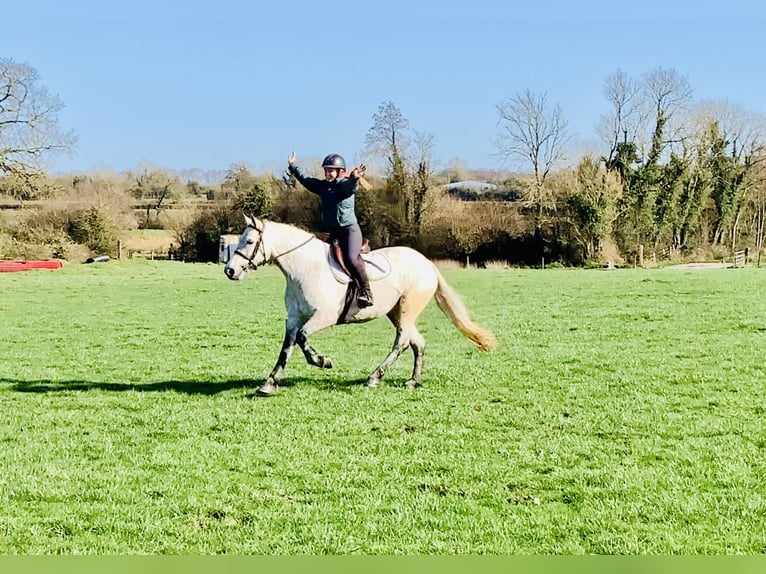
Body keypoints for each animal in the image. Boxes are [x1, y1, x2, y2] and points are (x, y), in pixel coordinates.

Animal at [224, 215, 497, 395]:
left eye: (249, 242)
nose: (230, 271)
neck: (304, 268)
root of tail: (426, 263)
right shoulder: (293, 319)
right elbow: (286, 349)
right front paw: (269, 383)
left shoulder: (324, 317)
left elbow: (302, 340)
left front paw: (323, 361)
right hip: (396, 312)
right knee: (417, 342)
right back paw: (413, 381)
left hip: (407, 308)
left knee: (402, 342)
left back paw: (374, 377)